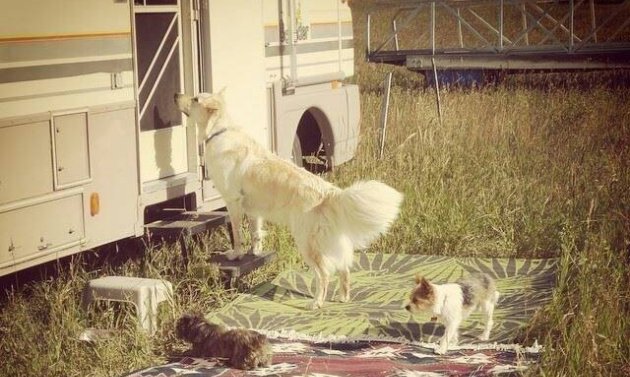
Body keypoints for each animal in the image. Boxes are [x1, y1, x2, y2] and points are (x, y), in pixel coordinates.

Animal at [175, 89, 402, 306]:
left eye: (195, 99)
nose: (176, 94)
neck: (220, 130)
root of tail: (330, 192)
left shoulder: (233, 202)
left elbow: (237, 234)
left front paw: (236, 254)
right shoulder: (254, 209)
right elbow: (255, 233)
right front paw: (254, 252)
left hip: (306, 242)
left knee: (324, 273)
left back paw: (317, 303)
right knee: (344, 268)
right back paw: (343, 298)